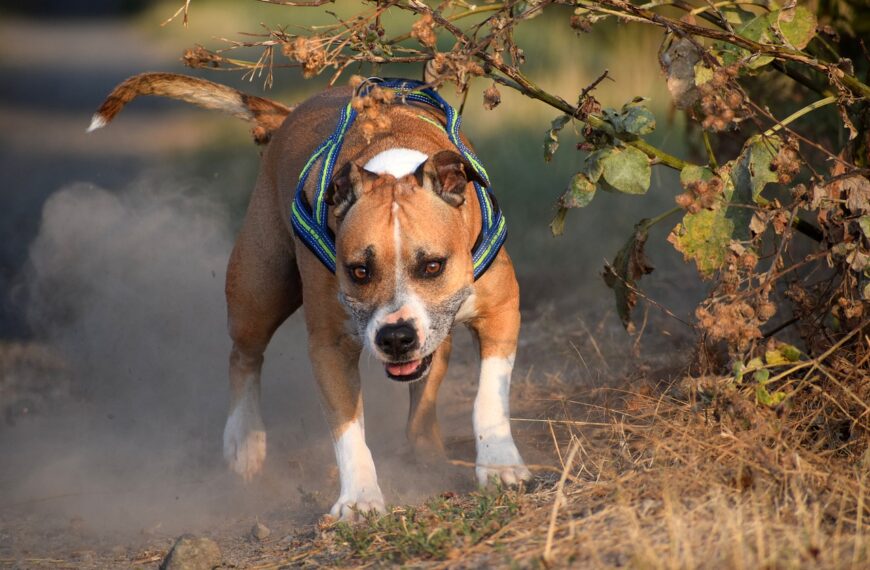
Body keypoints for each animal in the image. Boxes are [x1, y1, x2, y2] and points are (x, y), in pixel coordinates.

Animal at [92, 73, 536, 516]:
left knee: (427, 384)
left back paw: (426, 450)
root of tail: (291, 113)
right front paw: (359, 499)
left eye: (432, 266)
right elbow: (347, 429)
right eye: (358, 271)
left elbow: (488, 398)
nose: (395, 338)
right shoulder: (330, 345)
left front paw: (500, 465)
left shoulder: (501, 310)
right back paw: (244, 440)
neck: (392, 163)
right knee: (244, 356)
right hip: (259, 290)